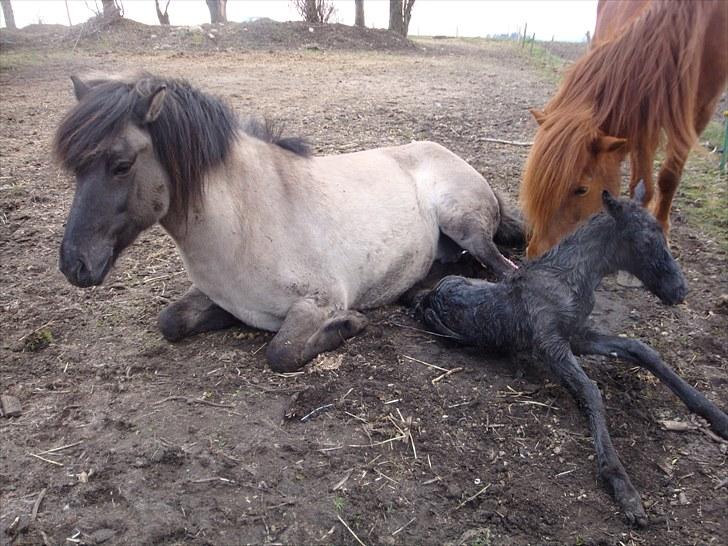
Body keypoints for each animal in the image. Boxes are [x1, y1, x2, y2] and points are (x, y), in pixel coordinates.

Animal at [57, 73, 524, 370]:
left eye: (121, 165)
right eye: (75, 169)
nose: (74, 265)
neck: (247, 219)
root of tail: (449, 153)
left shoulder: (317, 301)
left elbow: (281, 353)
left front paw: (349, 325)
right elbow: (170, 321)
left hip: (464, 224)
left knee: (504, 269)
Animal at [416, 186, 728, 524]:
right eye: (646, 241)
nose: (680, 291)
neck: (570, 279)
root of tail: (430, 295)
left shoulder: (577, 335)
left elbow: (642, 349)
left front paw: (716, 415)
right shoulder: (552, 346)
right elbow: (591, 391)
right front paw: (623, 487)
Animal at [524, 0, 728, 256]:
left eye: (581, 189)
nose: (535, 254)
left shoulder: (698, 113)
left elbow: (668, 178)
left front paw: (660, 230)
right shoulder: (643, 114)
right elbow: (643, 184)